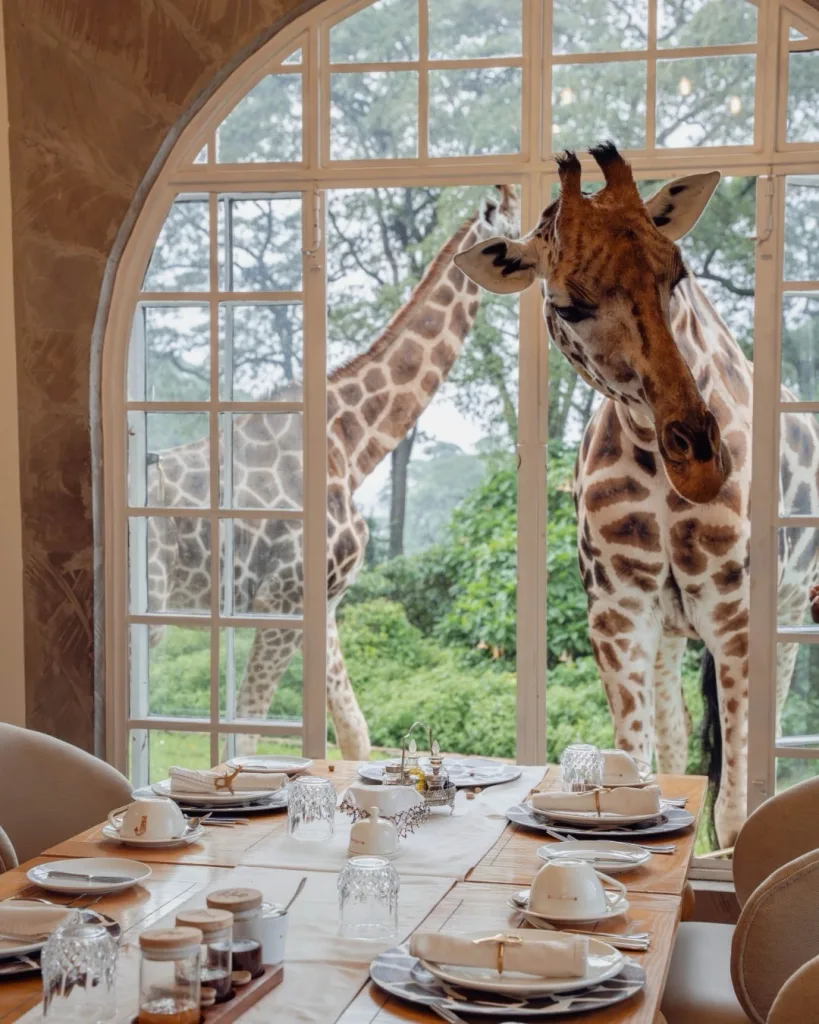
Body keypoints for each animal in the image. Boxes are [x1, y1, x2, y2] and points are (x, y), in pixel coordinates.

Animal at [144, 185, 520, 761]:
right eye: (517, 228)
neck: (353, 444)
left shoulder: (326, 601)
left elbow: (355, 732)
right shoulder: (281, 600)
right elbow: (249, 728)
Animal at [454, 143, 819, 847]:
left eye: (677, 273)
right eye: (568, 305)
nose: (700, 460)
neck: (652, 462)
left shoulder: (735, 614)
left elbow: (735, 808)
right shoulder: (619, 611)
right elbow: (642, 753)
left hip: (784, 610)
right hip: (673, 628)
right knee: (676, 737)